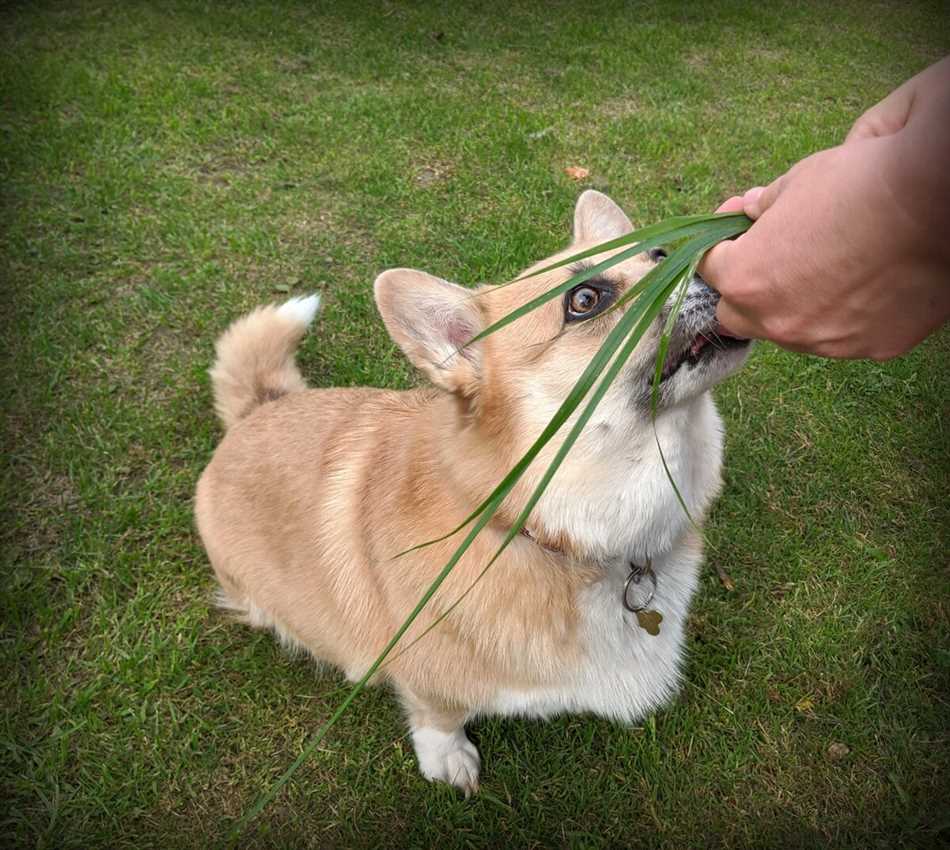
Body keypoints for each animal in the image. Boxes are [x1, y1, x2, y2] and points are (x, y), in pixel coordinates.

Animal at [197, 189, 756, 792]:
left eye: (657, 253)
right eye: (585, 300)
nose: (721, 257)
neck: (552, 533)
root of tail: (257, 410)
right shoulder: (426, 675)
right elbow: (437, 713)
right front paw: (448, 760)